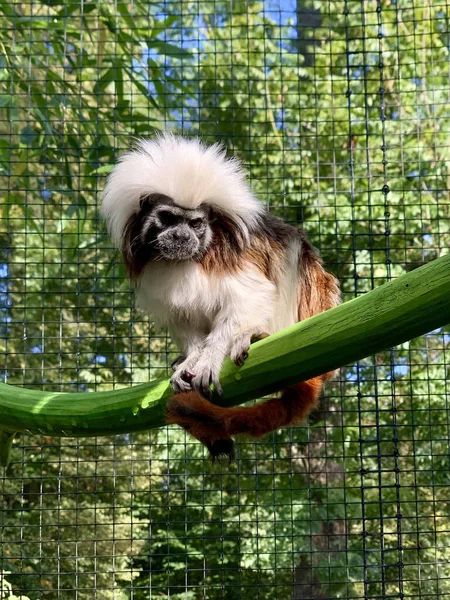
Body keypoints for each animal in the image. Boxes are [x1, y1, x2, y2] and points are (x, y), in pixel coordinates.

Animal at [102, 132, 340, 460]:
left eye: (196, 224)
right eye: (167, 218)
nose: (181, 237)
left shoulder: (234, 262)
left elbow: (247, 297)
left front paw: (210, 357)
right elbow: (181, 317)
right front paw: (190, 358)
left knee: (291, 249)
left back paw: (259, 334)